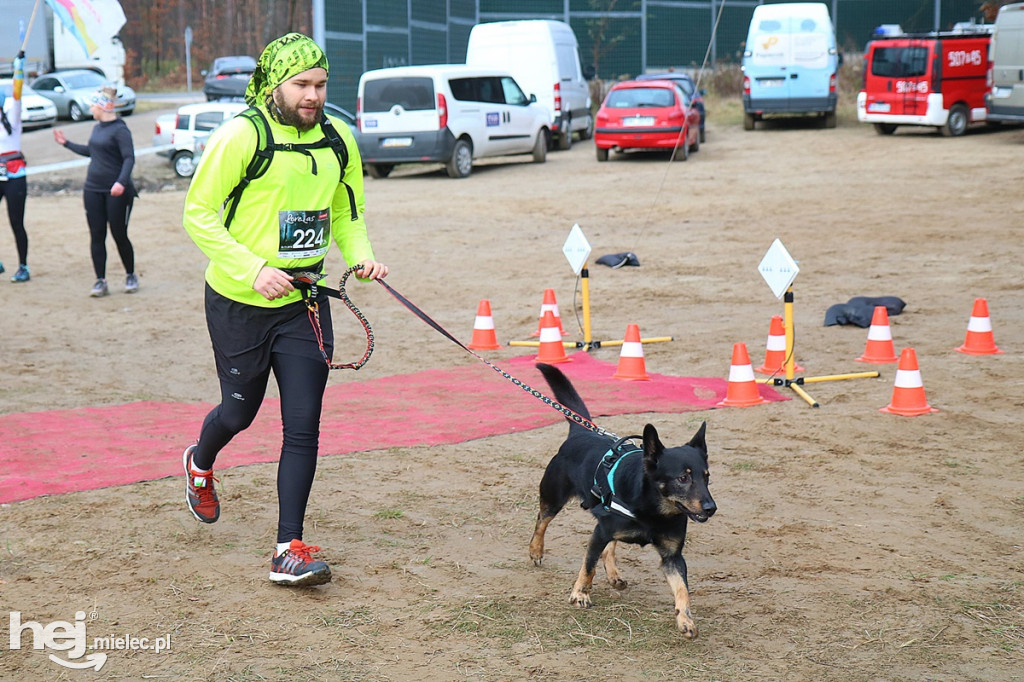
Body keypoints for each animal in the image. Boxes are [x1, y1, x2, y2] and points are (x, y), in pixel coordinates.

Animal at [532, 364, 716, 634]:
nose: (711, 507)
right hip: (554, 496)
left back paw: (613, 574)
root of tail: (580, 431)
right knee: (542, 521)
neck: (653, 510)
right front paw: (581, 593)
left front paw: (685, 619)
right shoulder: (600, 532)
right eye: (683, 478)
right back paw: (535, 550)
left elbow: (682, 589)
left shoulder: (672, 556)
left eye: (706, 477)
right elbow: (588, 564)